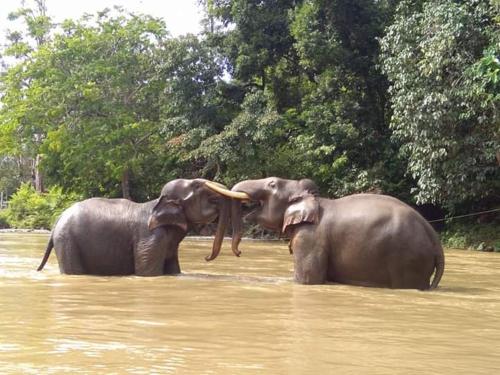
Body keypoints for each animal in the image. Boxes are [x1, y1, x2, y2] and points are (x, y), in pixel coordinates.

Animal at [37, 179, 230, 276]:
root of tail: (57, 221)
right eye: (197, 185)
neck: (157, 202)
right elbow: (147, 272)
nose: (207, 257)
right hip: (67, 241)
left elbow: (174, 269)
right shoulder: (150, 237)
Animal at [205, 178, 448, 290]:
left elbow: (307, 280)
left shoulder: (310, 237)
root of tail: (433, 237)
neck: (314, 199)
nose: (238, 252)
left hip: (407, 259)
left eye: (272, 183)